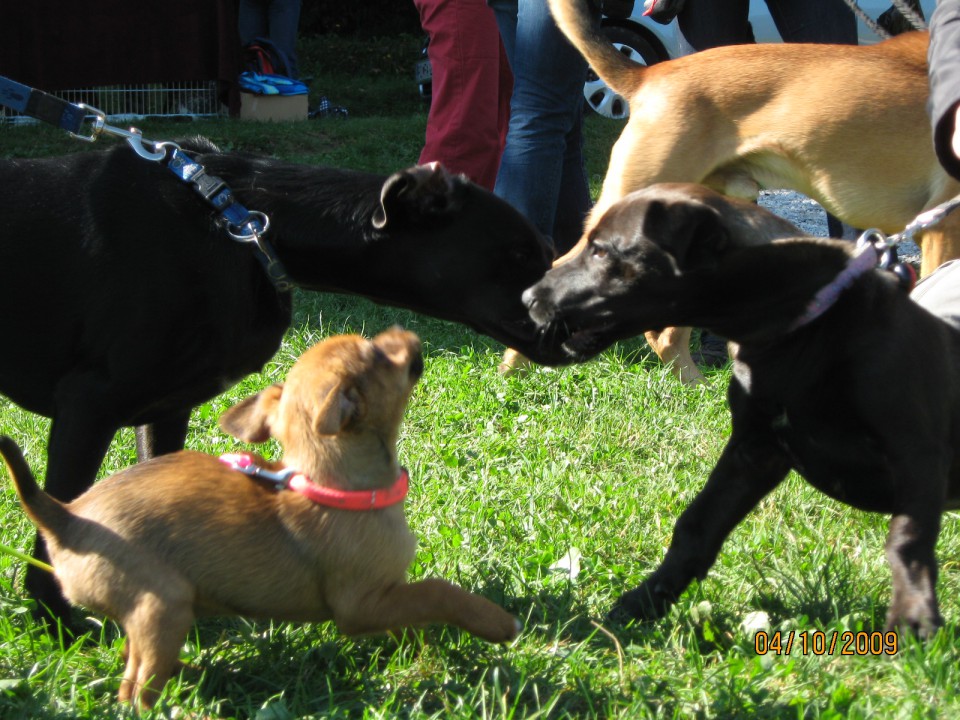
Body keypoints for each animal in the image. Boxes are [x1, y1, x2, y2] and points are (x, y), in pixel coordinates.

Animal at [0, 136, 560, 624]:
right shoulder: (88, 406)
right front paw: (57, 620)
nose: (570, 315)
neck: (237, 223)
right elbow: (58, 522)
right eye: (521, 254)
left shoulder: (166, 411)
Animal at [0, 328, 516, 708]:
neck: (333, 484)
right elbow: (436, 591)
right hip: (163, 606)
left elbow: (415, 612)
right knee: (135, 688)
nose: (404, 329)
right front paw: (493, 622)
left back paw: (195, 674)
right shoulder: (360, 604)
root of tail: (66, 518)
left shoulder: (385, 597)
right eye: (378, 354)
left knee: (134, 658)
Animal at [524, 184, 960, 636]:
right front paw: (645, 601)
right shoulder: (753, 452)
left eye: (601, 251)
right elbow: (695, 526)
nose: (527, 297)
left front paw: (912, 615)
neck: (803, 331)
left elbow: (907, 539)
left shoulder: (918, 454)